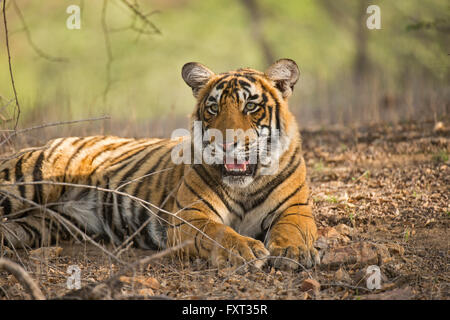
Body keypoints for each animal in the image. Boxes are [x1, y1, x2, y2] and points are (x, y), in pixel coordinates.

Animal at [0, 58, 320, 268]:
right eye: (213, 108)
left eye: (250, 106)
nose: (225, 144)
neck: (246, 185)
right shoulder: (190, 215)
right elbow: (220, 233)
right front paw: (247, 250)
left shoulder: (295, 207)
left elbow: (293, 229)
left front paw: (294, 252)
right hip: (26, 181)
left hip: (41, 224)